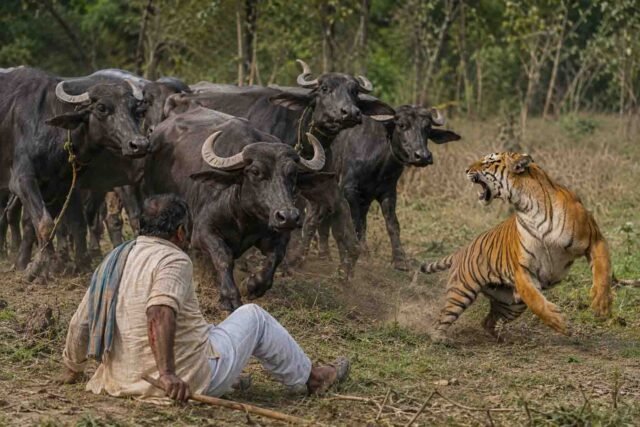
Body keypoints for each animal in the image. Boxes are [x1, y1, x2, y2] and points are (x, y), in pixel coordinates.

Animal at [420, 152, 613, 343]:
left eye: (488, 162)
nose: (466, 170)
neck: (527, 206)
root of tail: (461, 251)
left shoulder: (595, 239)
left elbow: (602, 272)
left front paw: (601, 305)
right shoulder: (523, 268)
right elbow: (535, 301)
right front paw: (559, 322)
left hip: (512, 304)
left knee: (487, 321)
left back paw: (503, 339)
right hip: (461, 292)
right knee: (443, 318)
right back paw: (439, 338)